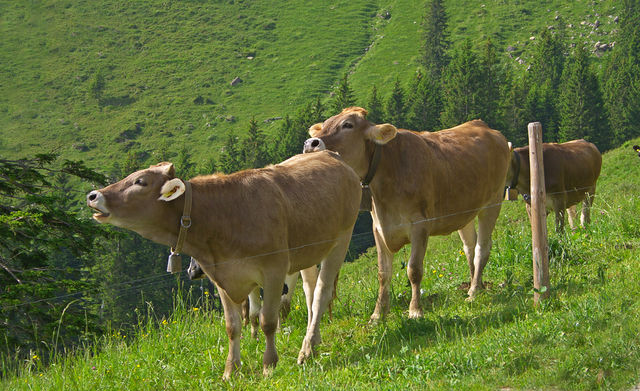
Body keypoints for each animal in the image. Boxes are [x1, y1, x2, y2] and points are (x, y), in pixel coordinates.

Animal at [87, 151, 362, 380]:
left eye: (140, 181)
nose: (93, 195)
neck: (222, 215)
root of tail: (332, 154)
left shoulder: (274, 270)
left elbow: (267, 321)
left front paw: (269, 365)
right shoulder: (222, 277)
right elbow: (232, 327)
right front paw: (231, 371)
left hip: (341, 240)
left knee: (321, 293)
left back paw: (307, 348)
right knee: (310, 291)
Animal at [304, 107, 510, 322]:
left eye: (347, 125)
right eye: (325, 123)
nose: (310, 143)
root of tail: (483, 125)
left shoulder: (420, 225)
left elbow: (414, 270)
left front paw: (415, 310)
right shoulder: (378, 229)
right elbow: (383, 273)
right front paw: (378, 314)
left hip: (493, 201)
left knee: (482, 247)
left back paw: (474, 290)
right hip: (464, 211)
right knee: (470, 247)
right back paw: (475, 285)